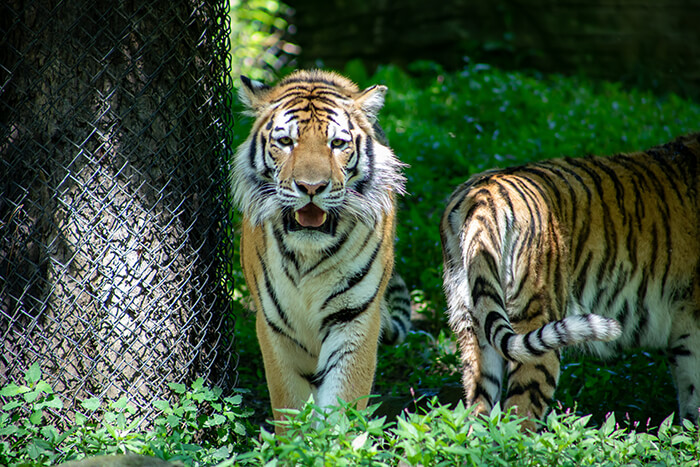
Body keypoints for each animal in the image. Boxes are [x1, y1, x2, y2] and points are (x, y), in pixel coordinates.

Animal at [232, 68, 412, 432]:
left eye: (337, 144)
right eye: (286, 142)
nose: (312, 187)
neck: (308, 255)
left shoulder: (355, 319)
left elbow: (342, 405)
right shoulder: (274, 327)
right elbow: (290, 408)